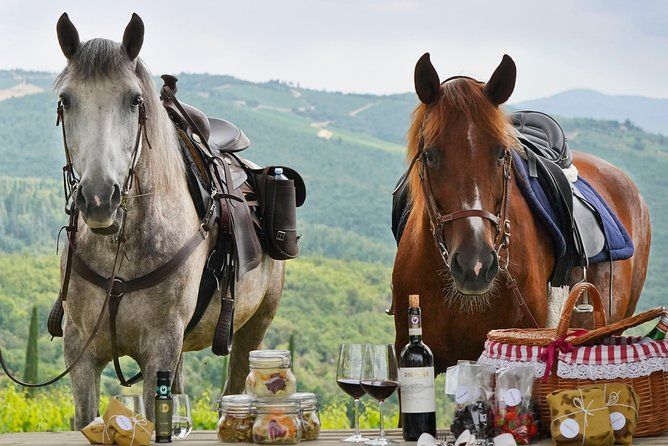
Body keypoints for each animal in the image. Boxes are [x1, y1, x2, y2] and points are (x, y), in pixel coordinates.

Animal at [54, 13, 285, 428]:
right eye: (66, 100)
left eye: (135, 100)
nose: (99, 198)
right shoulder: (79, 348)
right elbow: (86, 418)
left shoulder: (161, 344)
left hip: (255, 326)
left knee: (236, 383)